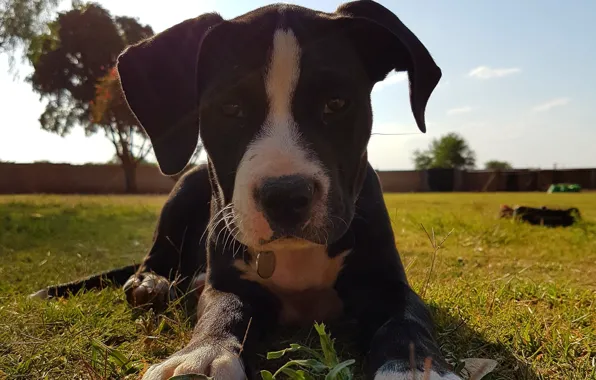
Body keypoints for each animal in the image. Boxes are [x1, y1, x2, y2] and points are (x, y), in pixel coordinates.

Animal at [28, 1, 464, 378]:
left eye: (337, 103)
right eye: (229, 107)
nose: (286, 197)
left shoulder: (387, 283)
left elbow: (406, 322)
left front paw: (413, 369)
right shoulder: (229, 286)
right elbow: (221, 312)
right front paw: (202, 356)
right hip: (185, 185)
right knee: (157, 255)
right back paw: (150, 282)